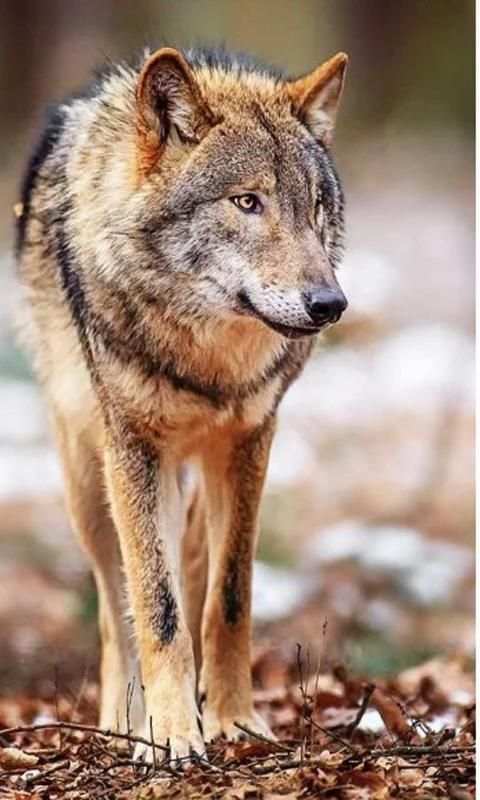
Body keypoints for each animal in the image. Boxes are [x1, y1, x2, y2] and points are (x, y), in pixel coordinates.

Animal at [16, 46, 348, 762]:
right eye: (247, 202)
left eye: (314, 207)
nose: (330, 304)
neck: (208, 360)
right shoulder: (134, 450)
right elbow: (156, 606)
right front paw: (167, 734)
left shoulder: (251, 441)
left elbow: (229, 597)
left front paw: (232, 720)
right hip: (89, 483)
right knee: (115, 604)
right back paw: (124, 718)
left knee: (194, 563)